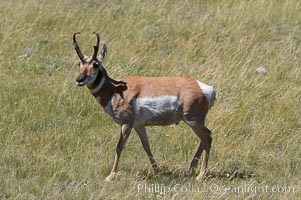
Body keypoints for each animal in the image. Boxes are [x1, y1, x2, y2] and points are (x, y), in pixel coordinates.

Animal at [73, 31, 216, 181]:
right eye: (79, 63)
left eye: (95, 64)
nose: (79, 80)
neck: (114, 90)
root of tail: (205, 88)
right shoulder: (139, 125)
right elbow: (146, 146)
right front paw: (156, 172)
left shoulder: (127, 124)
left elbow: (119, 147)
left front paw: (110, 176)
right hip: (195, 122)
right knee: (205, 137)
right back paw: (191, 169)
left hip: (192, 120)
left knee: (207, 137)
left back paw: (200, 175)